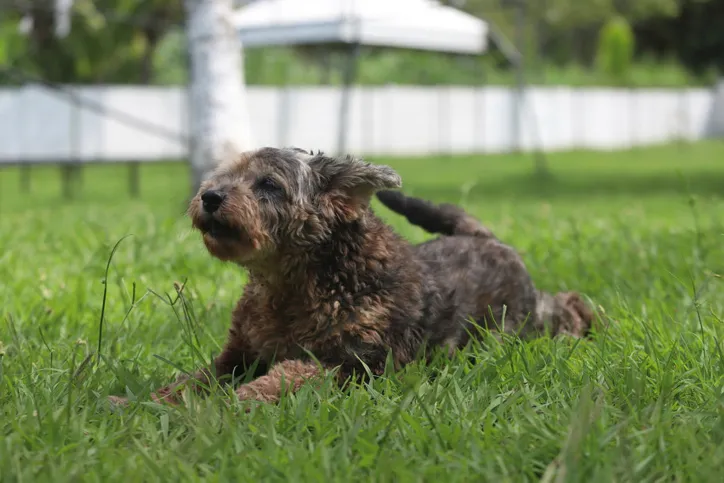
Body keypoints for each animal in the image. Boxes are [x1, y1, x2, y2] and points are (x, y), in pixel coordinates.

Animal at [107, 147, 592, 408]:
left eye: (269, 184)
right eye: (227, 175)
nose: (209, 196)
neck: (291, 287)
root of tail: (482, 237)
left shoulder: (345, 365)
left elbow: (278, 380)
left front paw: (219, 409)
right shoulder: (235, 358)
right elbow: (187, 382)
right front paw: (141, 402)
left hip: (521, 324)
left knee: (564, 305)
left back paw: (585, 325)